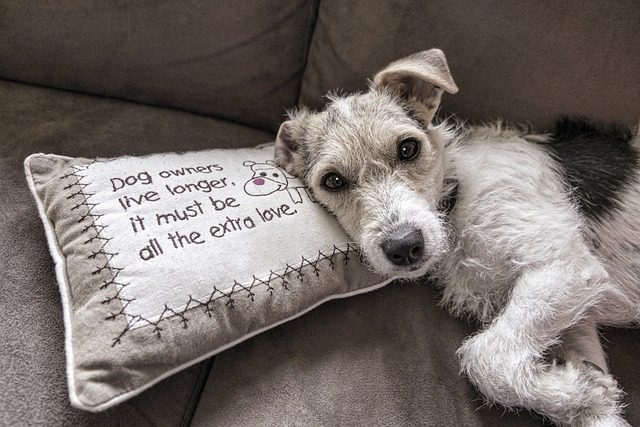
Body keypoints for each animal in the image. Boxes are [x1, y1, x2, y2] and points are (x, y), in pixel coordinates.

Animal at [274, 48, 640, 426]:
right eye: (332, 181)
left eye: (408, 149)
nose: (404, 246)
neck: (455, 200)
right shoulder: (578, 319)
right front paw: (582, 394)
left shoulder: (565, 265)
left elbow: (485, 357)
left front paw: (581, 393)